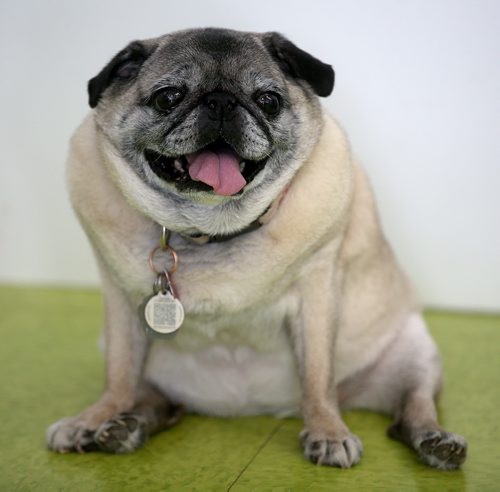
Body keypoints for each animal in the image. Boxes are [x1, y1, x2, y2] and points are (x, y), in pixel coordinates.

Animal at [47, 27, 464, 468]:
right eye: (168, 98)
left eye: (268, 101)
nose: (221, 101)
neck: (212, 229)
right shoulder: (123, 308)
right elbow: (119, 376)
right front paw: (96, 417)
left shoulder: (317, 297)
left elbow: (318, 377)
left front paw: (327, 431)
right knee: (158, 401)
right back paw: (123, 426)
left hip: (417, 353)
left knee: (412, 406)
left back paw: (435, 441)